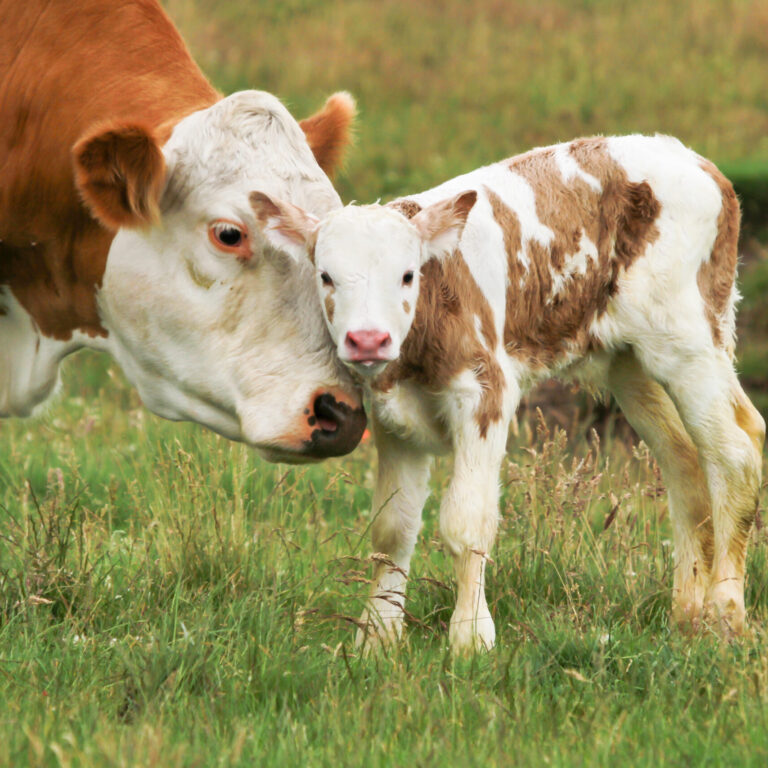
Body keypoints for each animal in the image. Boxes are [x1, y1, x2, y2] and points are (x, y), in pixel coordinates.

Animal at [250, 135, 766, 653]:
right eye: (325, 276)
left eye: (408, 275)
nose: (368, 339)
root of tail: (690, 157)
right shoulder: (392, 416)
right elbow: (392, 528)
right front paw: (377, 636)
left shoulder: (485, 391)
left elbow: (466, 520)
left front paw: (471, 637)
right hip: (630, 361)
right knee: (684, 460)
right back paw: (686, 616)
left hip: (687, 336)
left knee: (736, 450)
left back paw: (725, 615)